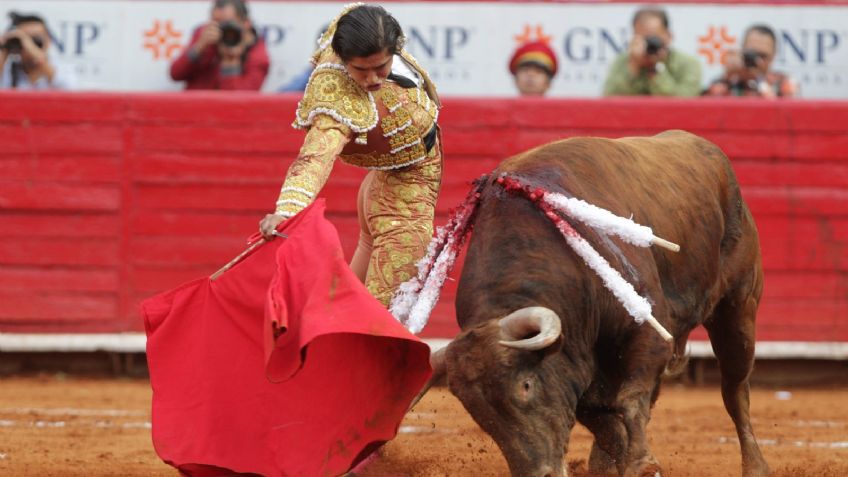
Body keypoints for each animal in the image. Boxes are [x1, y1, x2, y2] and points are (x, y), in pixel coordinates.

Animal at [430, 130, 768, 476]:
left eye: (525, 385)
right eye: (477, 412)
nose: (542, 473)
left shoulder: (647, 333)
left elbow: (631, 399)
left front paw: (642, 465)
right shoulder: (578, 363)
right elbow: (601, 417)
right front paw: (619, 462)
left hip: (738, 308)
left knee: (734, 389)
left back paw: (755, 466)